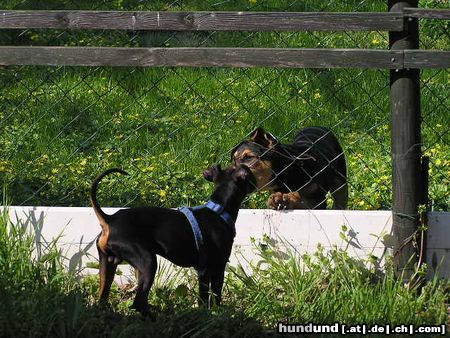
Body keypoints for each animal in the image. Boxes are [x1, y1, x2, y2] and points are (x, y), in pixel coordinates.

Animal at [89, 165, 255, 316]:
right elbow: (215, 297)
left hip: (108, 264)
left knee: (103, 297)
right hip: (148, 262)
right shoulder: (217, 269)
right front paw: (217, 314)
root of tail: (109, 219)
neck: (219, 211)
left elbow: (202, 299)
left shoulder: (203, 272)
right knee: (138, 302)